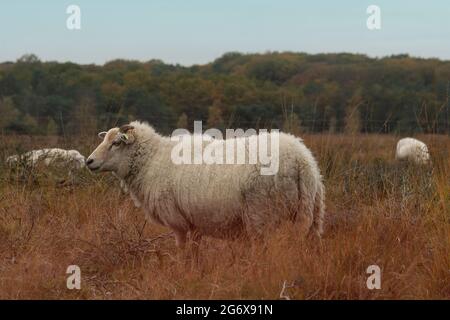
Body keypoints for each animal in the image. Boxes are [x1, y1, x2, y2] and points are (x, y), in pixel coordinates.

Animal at [86, 121, 326, 249]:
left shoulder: (179, 222)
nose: (89, 161)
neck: (152, 160)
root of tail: (301, 161)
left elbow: (184, 253)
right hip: (311, 212)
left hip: (263, 214)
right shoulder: (195, 222)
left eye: (116, 143)